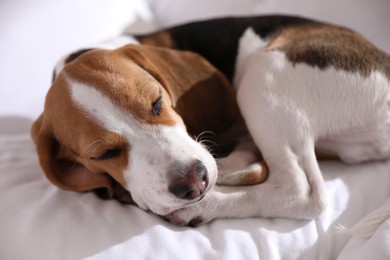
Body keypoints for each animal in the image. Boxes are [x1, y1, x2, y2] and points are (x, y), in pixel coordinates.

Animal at [31, 15, 390, 225]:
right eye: (103, 154)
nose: (194, 183)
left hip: (264, 73)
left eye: (157, 102)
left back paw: (204, 206)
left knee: (301, 191)